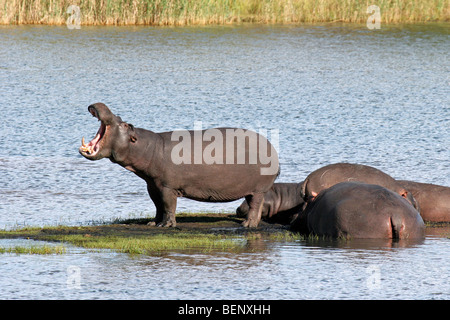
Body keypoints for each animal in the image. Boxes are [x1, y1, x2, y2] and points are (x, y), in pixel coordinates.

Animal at [79, 103, 280, 228]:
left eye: (125, 124)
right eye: (121, 118)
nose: (100, 105)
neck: (147, 147)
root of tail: (273, 149)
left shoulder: (167, 186)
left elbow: (168, 205)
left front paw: (165, 225)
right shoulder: (152, 185)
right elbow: (157, 205)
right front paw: (153, 223)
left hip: (258, 189)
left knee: (255, 205)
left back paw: (247, 225)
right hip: (254, 189)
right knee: (256, 205)